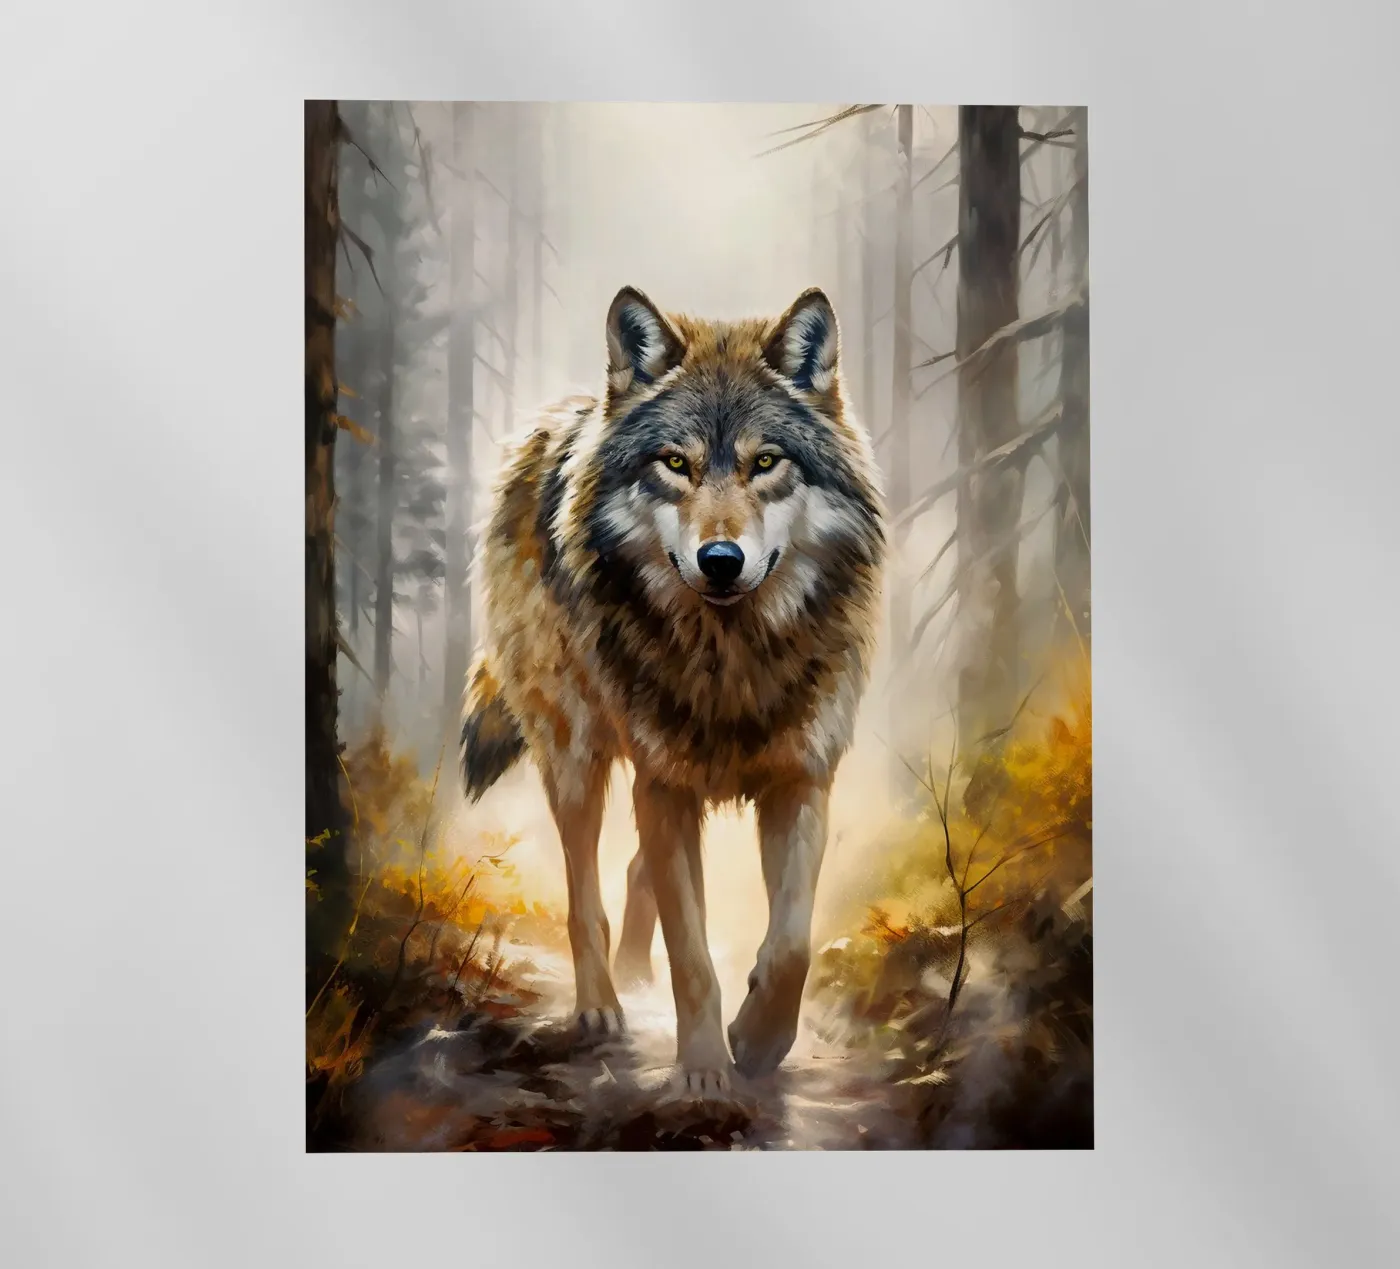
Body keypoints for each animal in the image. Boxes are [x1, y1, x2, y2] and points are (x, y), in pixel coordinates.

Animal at [459, 285, 885, 1093]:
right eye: (676, 464)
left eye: (765, 462)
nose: (721, 559)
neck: (731, 660)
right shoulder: (664, 784)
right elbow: (691, 954)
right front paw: (705, 1071)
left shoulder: (801, 779)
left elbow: (791, 945)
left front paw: (757, 1040)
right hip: (576, 757)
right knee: (585, 894)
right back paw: (602, 1004)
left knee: (635, 872)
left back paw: (634, 971)